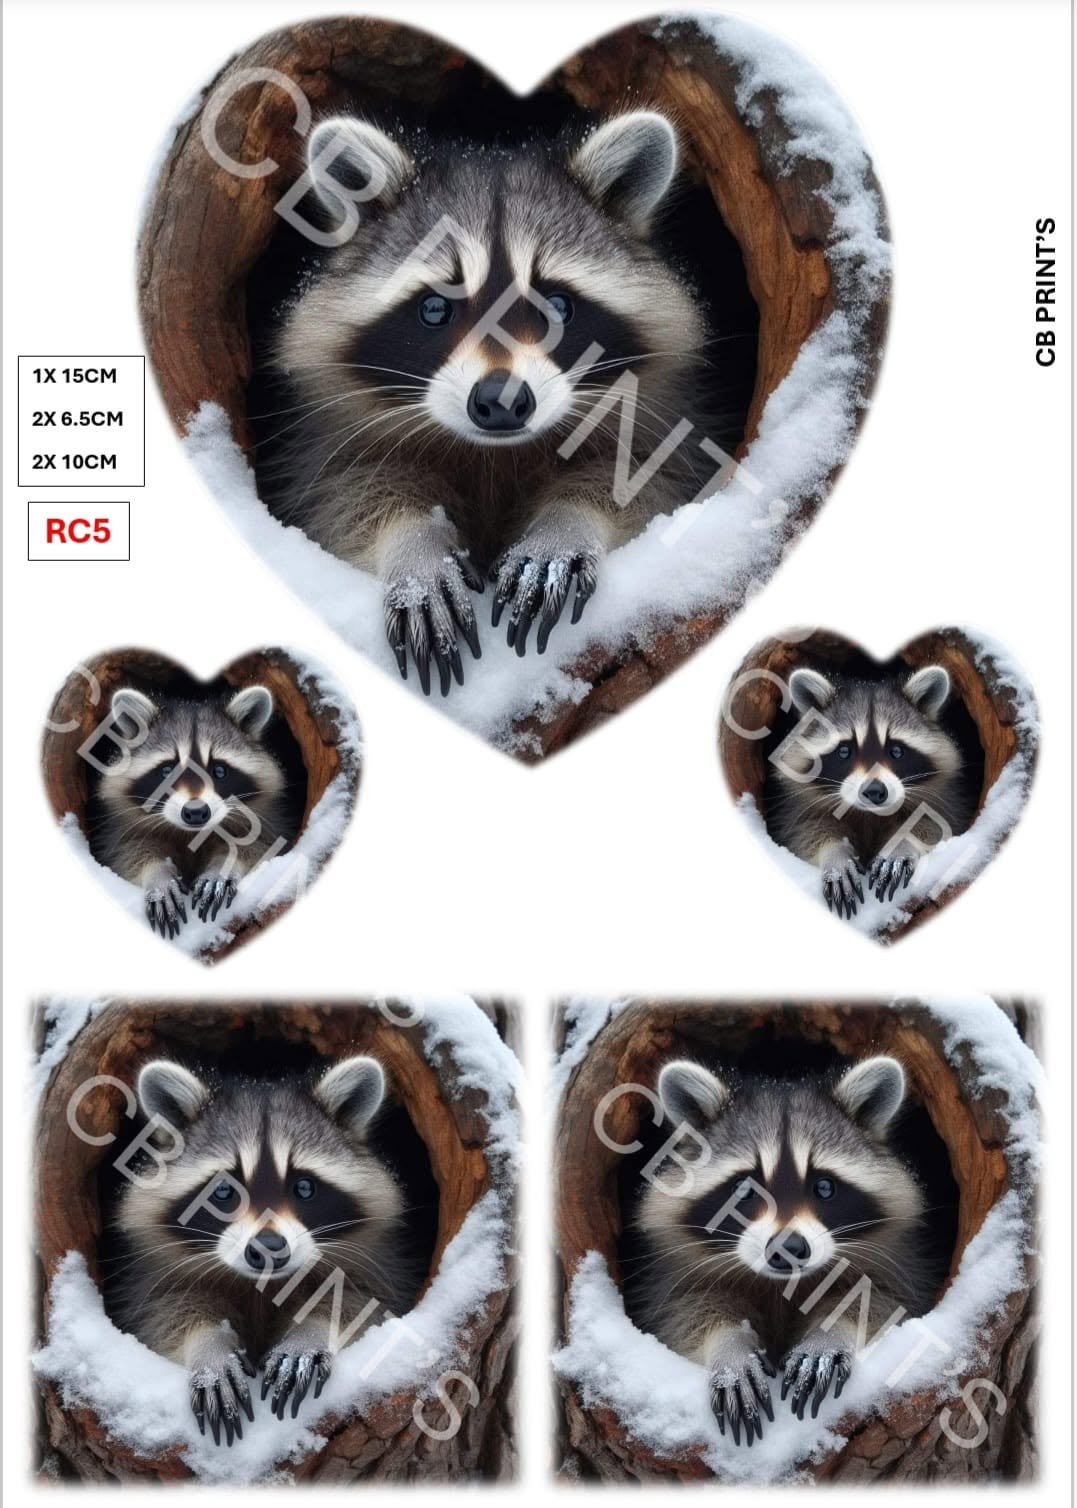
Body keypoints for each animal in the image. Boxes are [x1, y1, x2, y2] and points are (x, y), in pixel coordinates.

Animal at [94, 686, 287, 937]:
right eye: (167, 770)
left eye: (219, 771)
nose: (196, 812)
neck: (191, 833)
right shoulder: (120, 829)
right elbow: (127, 853)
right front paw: (158, 877)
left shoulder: (267, 820)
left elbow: (258, 847)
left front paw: (223, 866)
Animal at [111, 1055, 410, 1445]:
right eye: (224, 1190)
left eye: (304, 1187)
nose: (268, 1249)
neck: (262, 1284)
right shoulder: (152, 1278)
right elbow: (164, 1315)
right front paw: (210, 1350)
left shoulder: (378, 1263)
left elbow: (362, 1304)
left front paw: (310, 1332)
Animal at [261, 110, 716, 694]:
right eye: (435, 308)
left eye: (556, 306)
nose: (502, 402)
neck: (492, 452)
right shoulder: (324, 443)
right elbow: (344, 499)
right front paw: (414, 549)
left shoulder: (668, 422)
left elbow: (652, 484)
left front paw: (565, 525)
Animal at [635, 1057, 933, 1446]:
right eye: (744, 1189)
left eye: (824, 1187)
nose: (788, 1248)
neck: (779, 1284)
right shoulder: (673, 1277)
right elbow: (685, 1313)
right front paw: (730, 1349)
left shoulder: (900, 1263)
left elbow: (882, 1301)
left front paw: (828, 1334)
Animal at [768, 665, 973, 918]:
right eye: (844, 751)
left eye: (896, 751)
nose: (875, 791)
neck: (869, 814)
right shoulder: (796, 808)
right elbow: (803, 833)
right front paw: (835, 856)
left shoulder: (946, 799)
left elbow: (936, 825)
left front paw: (902, 844)